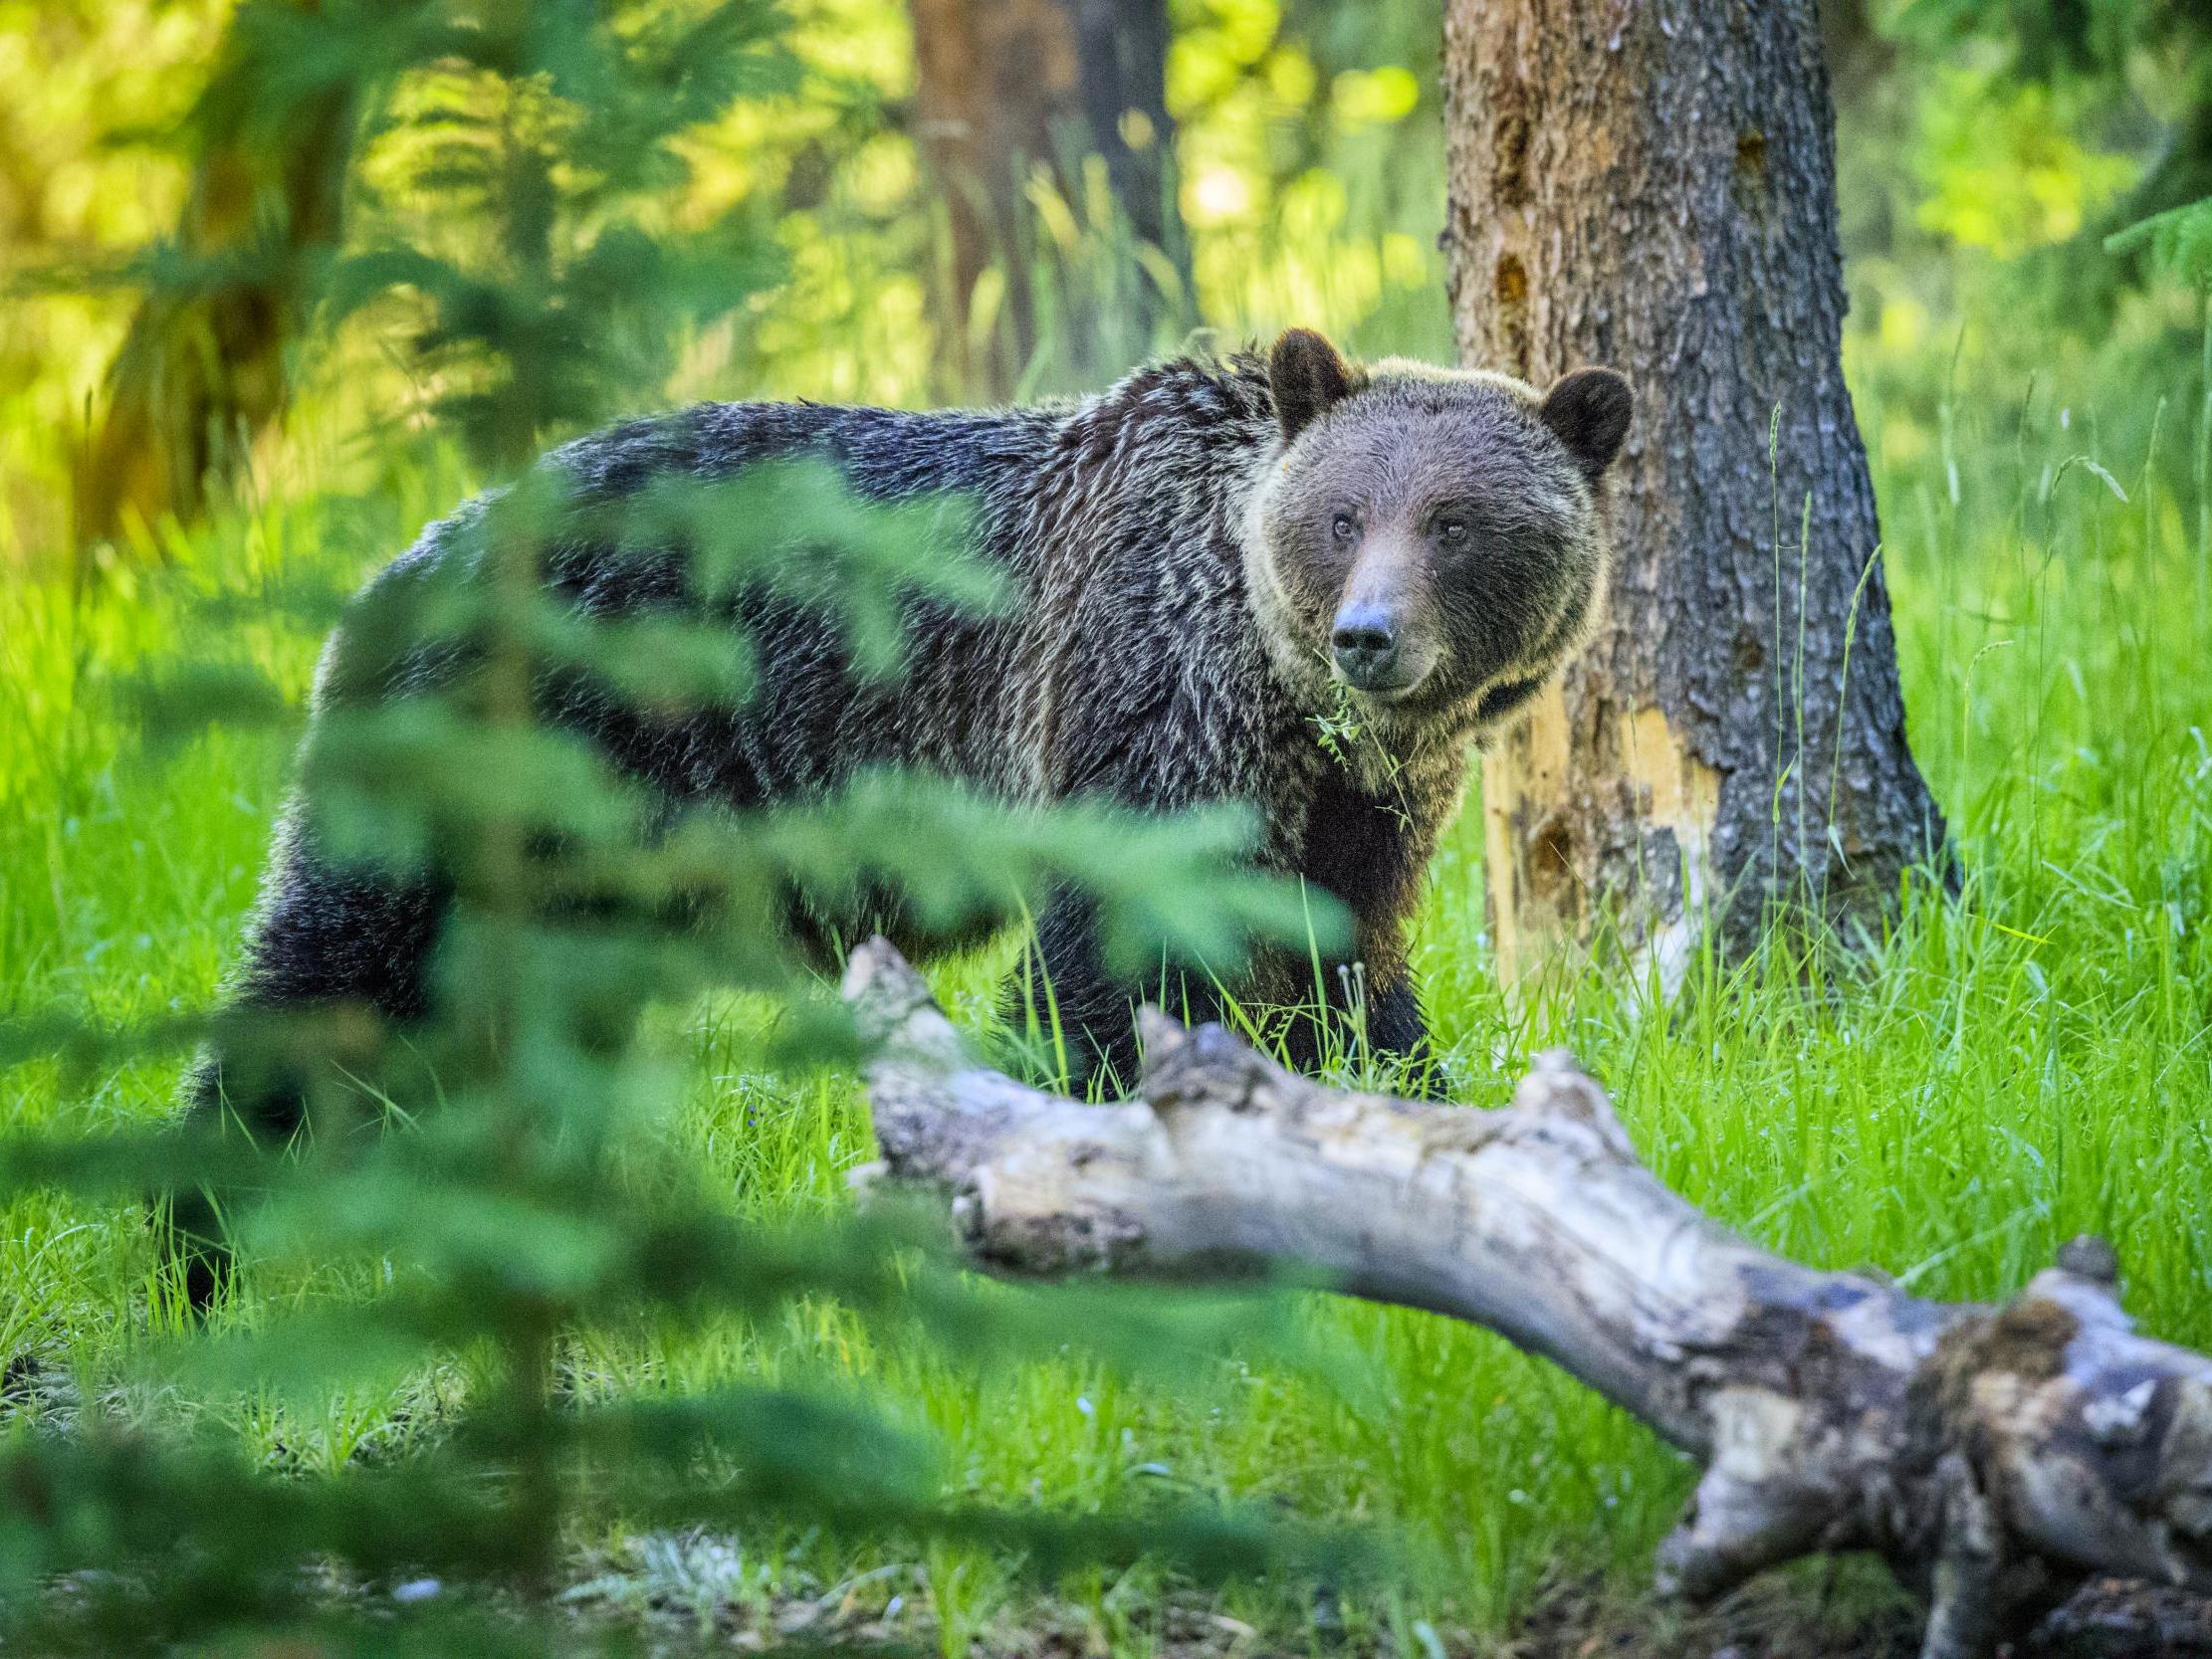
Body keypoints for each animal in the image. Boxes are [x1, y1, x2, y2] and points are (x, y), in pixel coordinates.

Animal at [176, 331, 1628, 1309]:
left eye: (1454, 520)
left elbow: (1348, 968)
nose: (1368, 636)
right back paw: (199, 1244)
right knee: (338, 976)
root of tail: (397, 567)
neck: (1278, 693)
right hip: (496, 767)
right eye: (1342, 513)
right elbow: (1106, 970)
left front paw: (1412, 1120)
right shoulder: (1137, 706)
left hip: (582, 866)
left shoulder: (1354, 812)